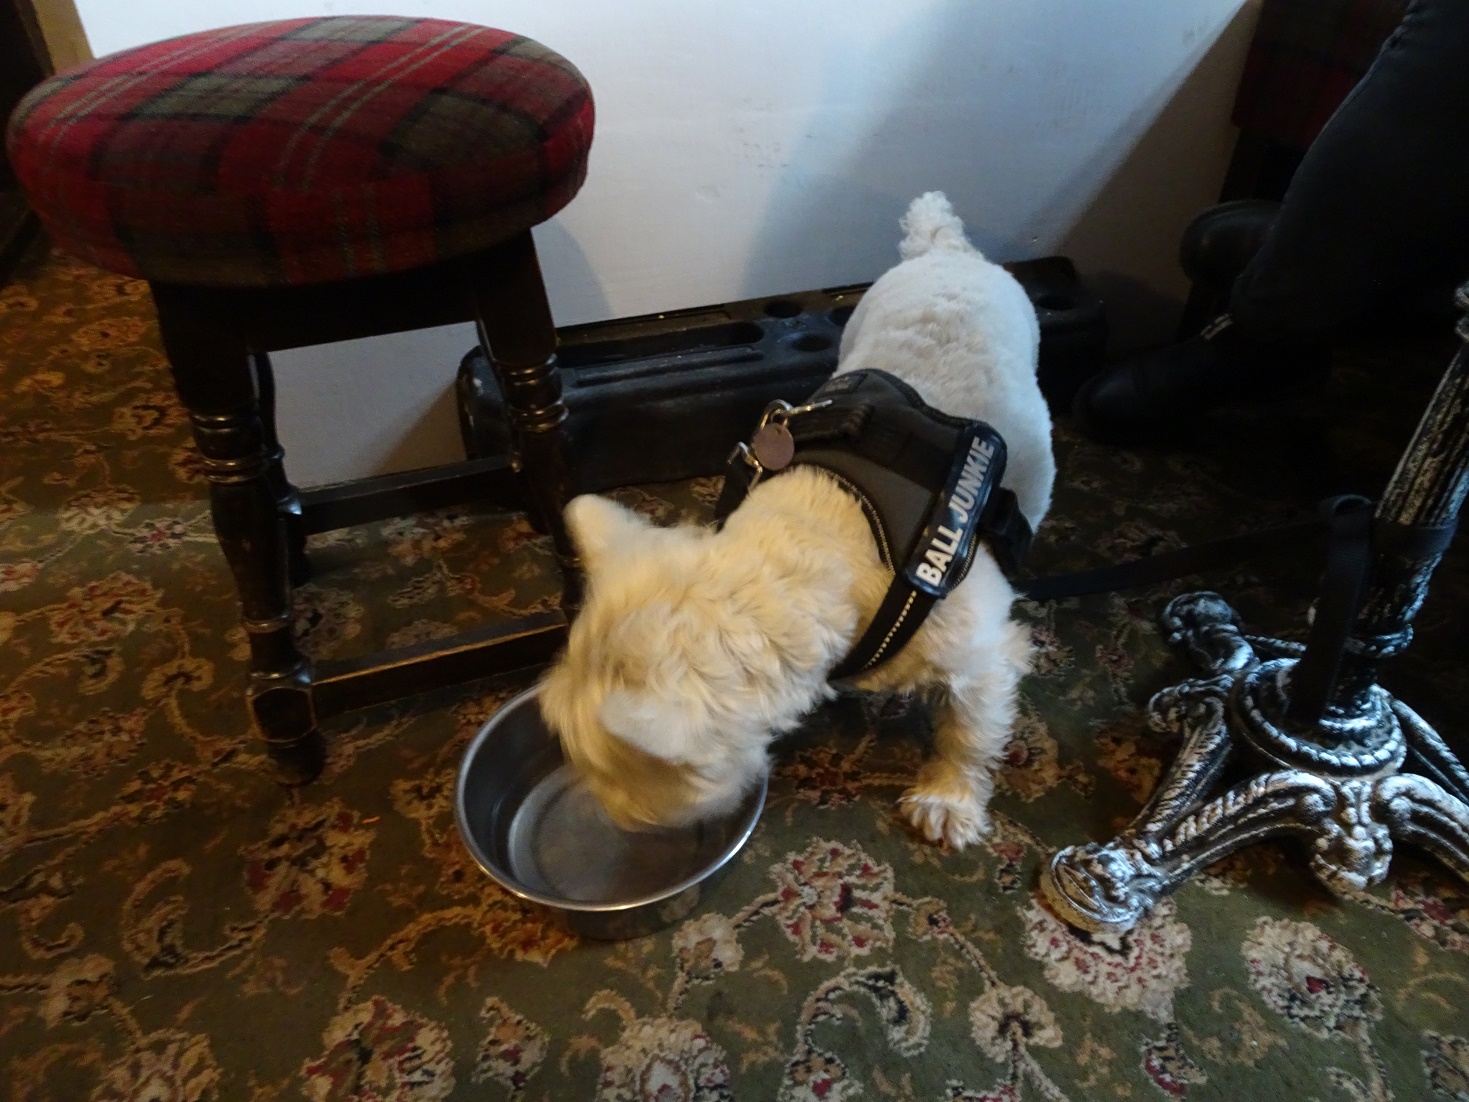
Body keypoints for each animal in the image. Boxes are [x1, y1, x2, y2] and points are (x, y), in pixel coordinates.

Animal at [540, 192, 1057, 846]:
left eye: (612, 773)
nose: (612, 823)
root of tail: (945, 248)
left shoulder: (982, 653)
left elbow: (968, 730)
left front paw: (948, 800)